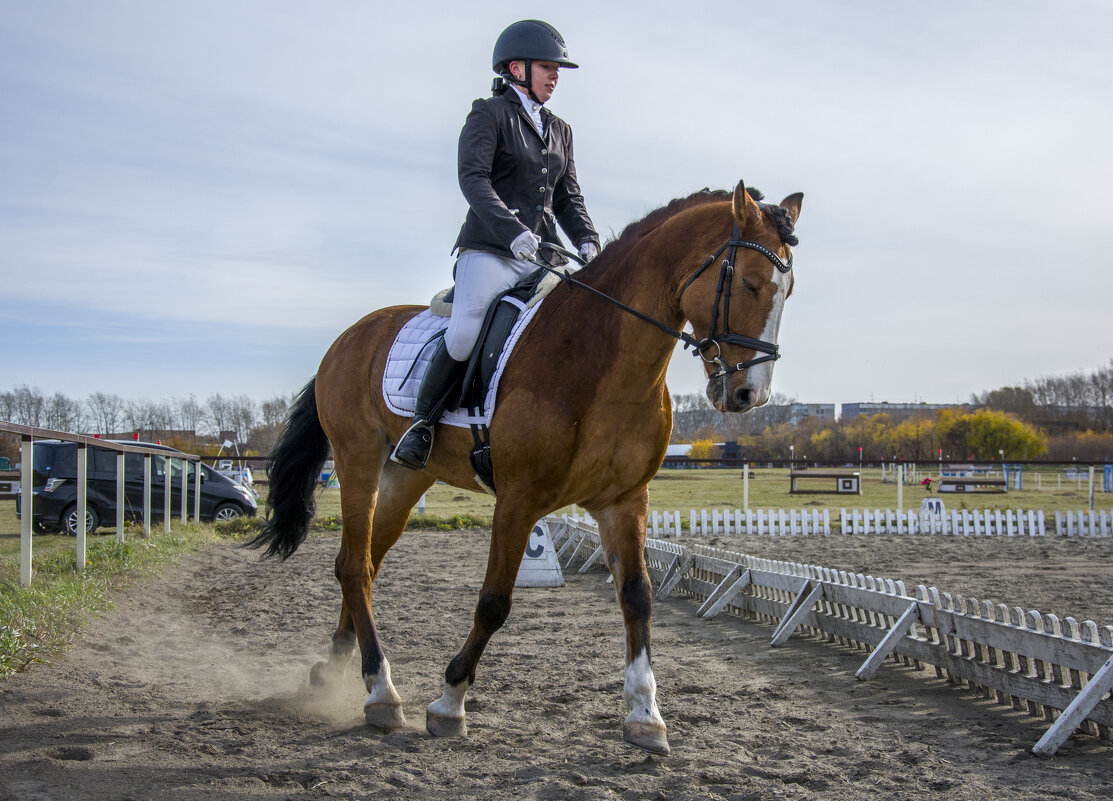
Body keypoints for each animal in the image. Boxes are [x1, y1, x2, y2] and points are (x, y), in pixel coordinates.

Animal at [255, 178, 805, 752]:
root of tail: (350, 335)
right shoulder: (519, 501)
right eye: (749, 283)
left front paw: (645, 713)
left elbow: (638, 597)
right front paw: (449, 702)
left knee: (364, 563)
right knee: (353, 566)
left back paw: (336, 669)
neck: (602, 359)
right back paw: (381, 689)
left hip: (407, 476)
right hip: (357, 460)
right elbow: (494, 602)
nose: (748, 395)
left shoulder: (625, 501)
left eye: (788, 292)